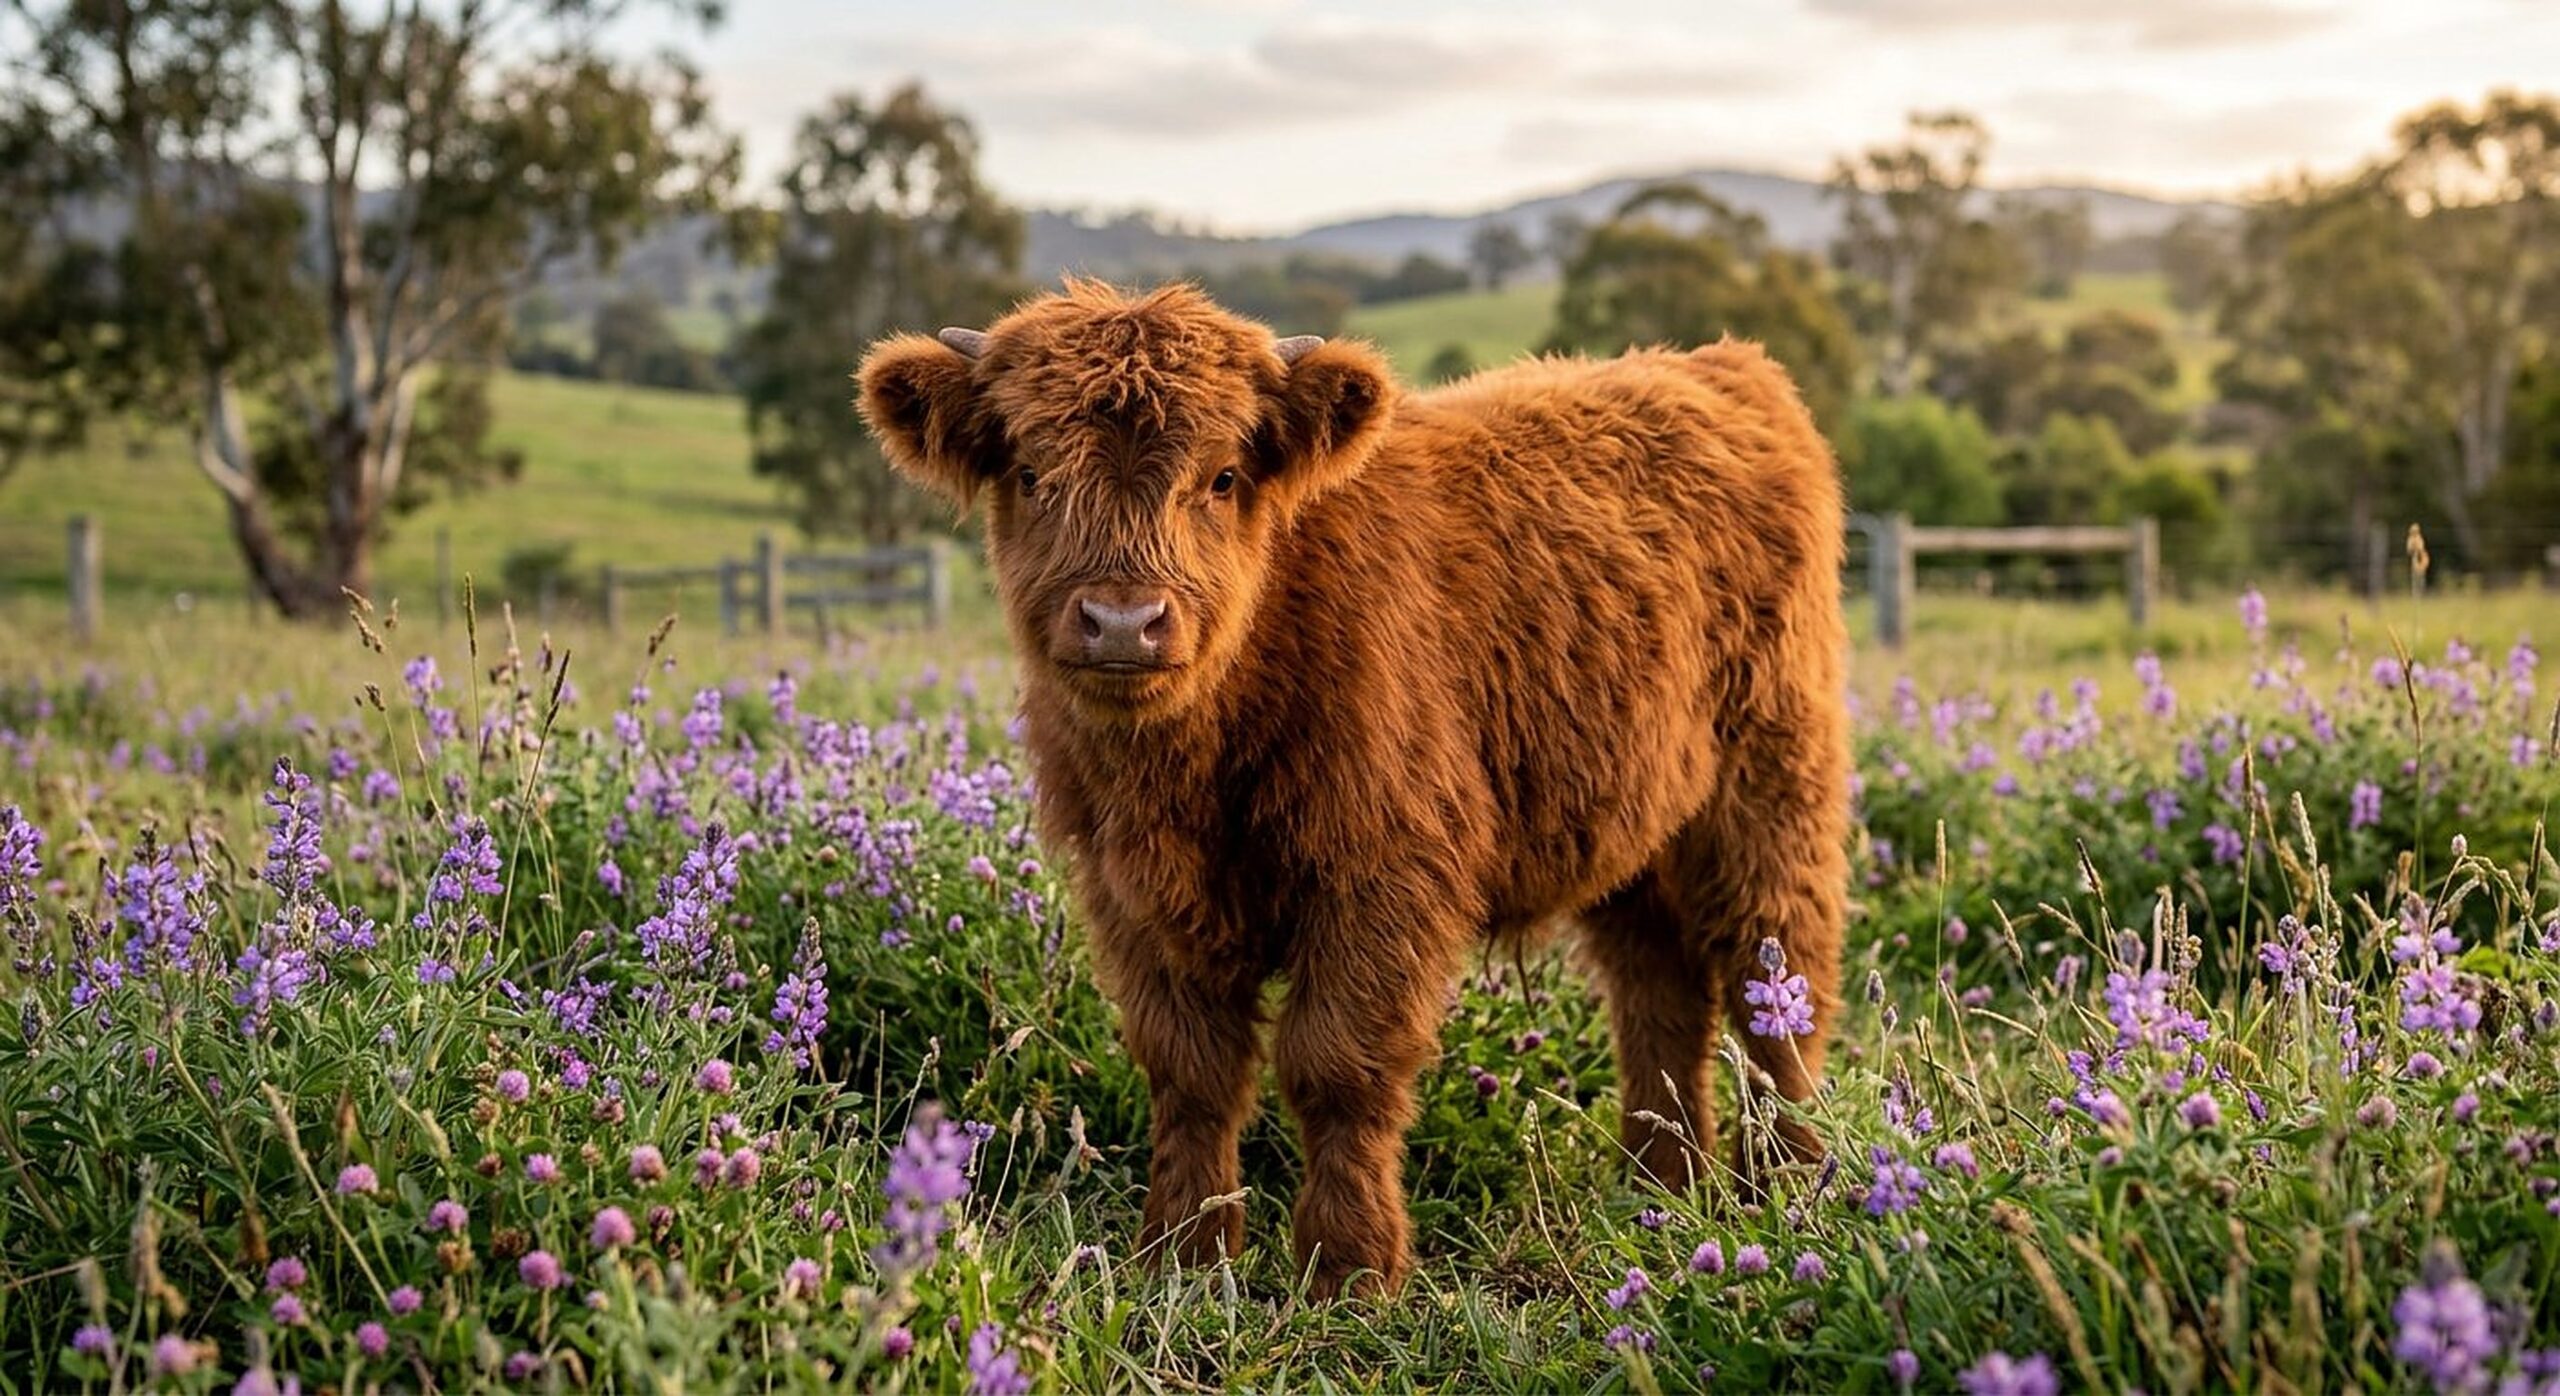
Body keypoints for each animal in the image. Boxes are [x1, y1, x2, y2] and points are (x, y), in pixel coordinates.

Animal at [857, 280, 1849, 1299]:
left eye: (1222, 478)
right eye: (1029, 472)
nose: (1123, 621)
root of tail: (1717, 365)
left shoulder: (1383, 874)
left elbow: (1337, 1065)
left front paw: (1348, 1268)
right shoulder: (1131, 892)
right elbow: (1190, 1068)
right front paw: (1181, 1254)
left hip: (1771, 787)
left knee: (1775, 981)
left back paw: (1790, 1186)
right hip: (1632, 827)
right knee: (1658, 993)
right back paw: (1660, 1186)